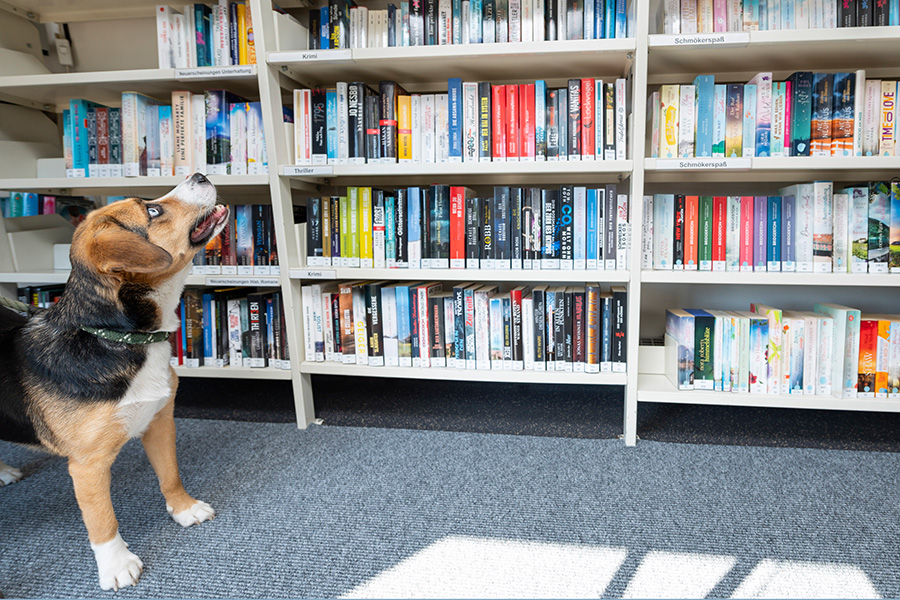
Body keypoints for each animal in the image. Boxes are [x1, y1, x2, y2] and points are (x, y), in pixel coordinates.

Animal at [1, 173, 232, 592]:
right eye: (152, 210)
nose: (200, 174)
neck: (119, 337)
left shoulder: (160, 422)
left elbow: (170, 475)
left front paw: (184, 509)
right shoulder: (87, 466)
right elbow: (102, 521)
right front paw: (116, 564)